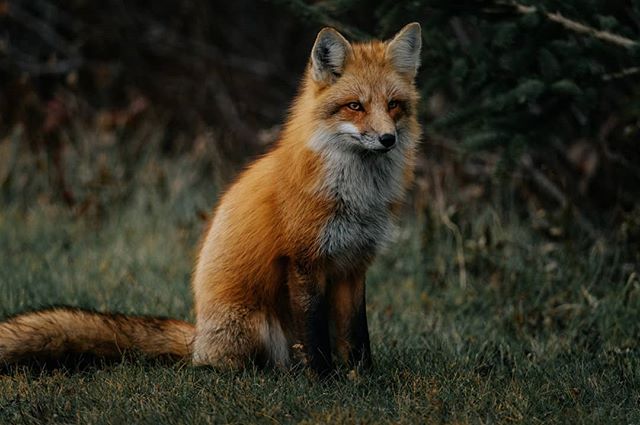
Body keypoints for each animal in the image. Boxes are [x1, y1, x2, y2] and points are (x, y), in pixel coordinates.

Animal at [1, 23, 424, 374]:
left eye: (393, 105)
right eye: (355, 105)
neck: (355, 197)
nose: (387, 139)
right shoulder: (305, 262)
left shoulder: (354, 265)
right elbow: (316, 337)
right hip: (256, 326)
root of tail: (197, 338)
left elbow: (358, 336)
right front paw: (324, 381)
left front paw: (363, 379)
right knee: (234, 367)